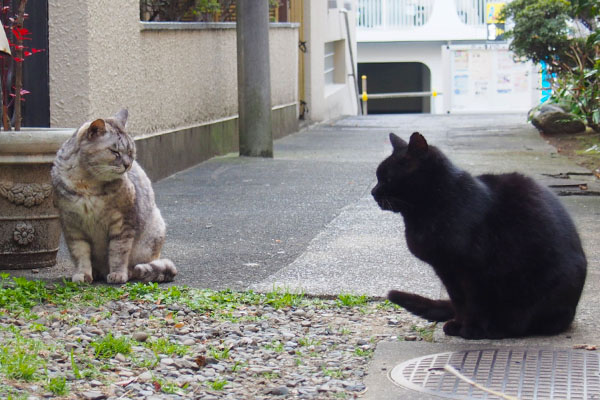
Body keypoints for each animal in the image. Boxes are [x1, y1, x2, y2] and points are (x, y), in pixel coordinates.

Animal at [51, 109, 176, 284]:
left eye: (130, 152)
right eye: (115, 152)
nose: (128, 164)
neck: (86, 184)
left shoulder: (123, 223)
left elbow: (118, 252)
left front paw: (118, 274)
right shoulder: (72, 226)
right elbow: (80, 254)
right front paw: (83, 274)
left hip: (154, 231)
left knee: (140, 265)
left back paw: (128, 272)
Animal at [372, 133, 588, 340]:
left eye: (387, 178)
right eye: (378, 176)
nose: (373, 192)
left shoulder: (474, 270)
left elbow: (475, 303)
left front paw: (472, 329)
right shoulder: (446, 270)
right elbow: (460, 301)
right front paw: (458, 325)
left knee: (527, 322)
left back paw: (498, 329)